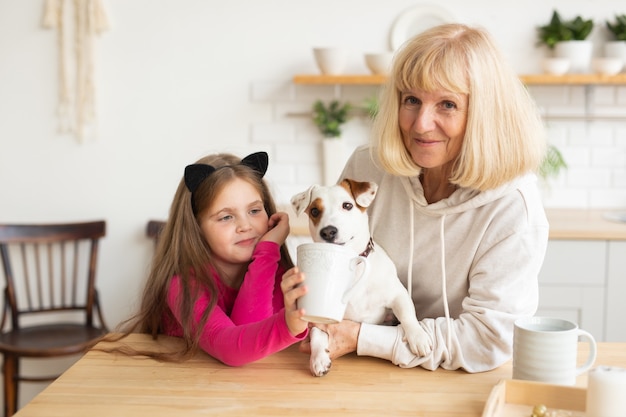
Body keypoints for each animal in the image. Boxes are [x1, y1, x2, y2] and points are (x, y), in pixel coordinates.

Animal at [290, 177, 432, 376]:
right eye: (314, 211)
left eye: (347, 205)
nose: (328, 231)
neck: (353, 265)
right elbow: (317, 332)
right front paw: (318, 358)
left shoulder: (397, 294)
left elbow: (407, 315)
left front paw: (418, 337)